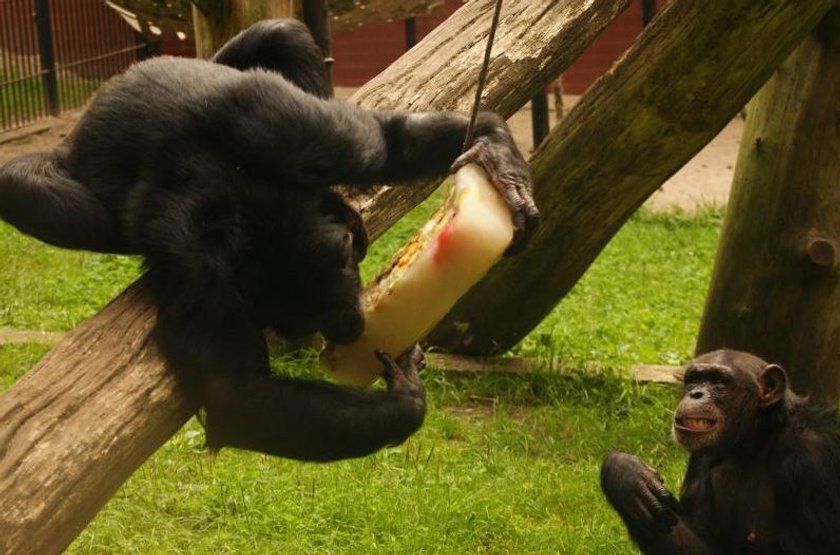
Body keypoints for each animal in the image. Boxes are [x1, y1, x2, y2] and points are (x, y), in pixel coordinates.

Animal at [0, 19, 540, 462]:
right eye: (296, 320)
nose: (347, 328)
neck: (239, 192)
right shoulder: (196, 267)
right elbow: (237, 395)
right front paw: (405, 397)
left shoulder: (309, 134)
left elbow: (388, 143)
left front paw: (498, 157)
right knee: (23, 187)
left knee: (285, 32)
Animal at [600, 352, 840, 555]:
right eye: (694, 379)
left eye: (719, 382)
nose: (696, 393)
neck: (754, 441)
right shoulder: (701, 457)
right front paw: (624, 473)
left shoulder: (813, 456)